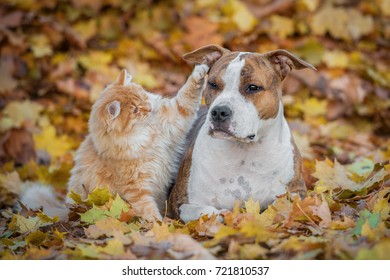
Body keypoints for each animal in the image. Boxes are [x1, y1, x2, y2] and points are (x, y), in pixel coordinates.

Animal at [169, 44, 316, 222]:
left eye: (253, 87)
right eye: (212, 84)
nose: (219, 112)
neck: (244, 152)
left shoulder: (297, 191)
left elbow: (280, 204)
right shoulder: (180, 202)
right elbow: (209, 212)